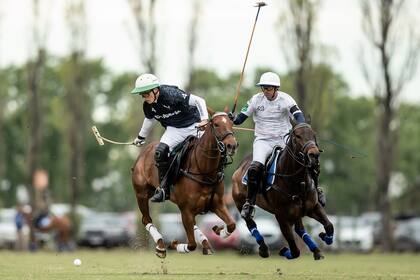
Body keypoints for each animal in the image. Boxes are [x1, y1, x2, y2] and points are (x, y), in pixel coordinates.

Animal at [134, 112, 240, 258]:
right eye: (216, 124)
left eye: (231, 123)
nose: (232, 145)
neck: (204, 170)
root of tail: (144, 152)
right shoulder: (186, 209)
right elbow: (191, 245)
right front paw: (173, 244)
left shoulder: (217, 204)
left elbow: (231, 225)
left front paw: (218, 230)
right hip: (142, 194)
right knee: (146, 219)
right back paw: (161, 246)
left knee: (194, 224)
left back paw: (206, 244)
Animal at [231, 122, 334, 260]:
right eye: (297, 136)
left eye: (314, 134)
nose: (314, 155)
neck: (297, 181)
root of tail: (240, 167)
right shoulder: (281, 216)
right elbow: (295, 250)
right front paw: (284, 251)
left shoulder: (313, 207)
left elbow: (329, 226)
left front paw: (324, 237)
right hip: (239, 202)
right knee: (250, 223)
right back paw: (263, 249)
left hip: (297, 211)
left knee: (300, 229)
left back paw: (316, 250)